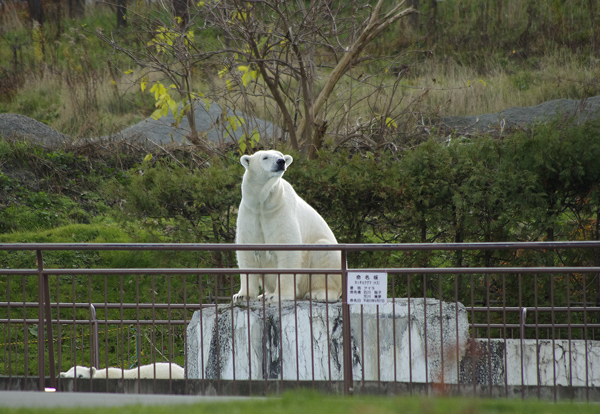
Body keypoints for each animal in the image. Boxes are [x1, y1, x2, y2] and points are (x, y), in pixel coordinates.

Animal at [232, 150, 342, 302]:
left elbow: (287, 249)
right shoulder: (250, 213)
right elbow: (248, 250)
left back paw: (319, 293)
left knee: (324, 252)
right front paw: (241, 295)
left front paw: (278, 296)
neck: (262, 203)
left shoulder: (280, 210)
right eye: (265, 157)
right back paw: (264, 294)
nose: (281, 162)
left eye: (281, 155)